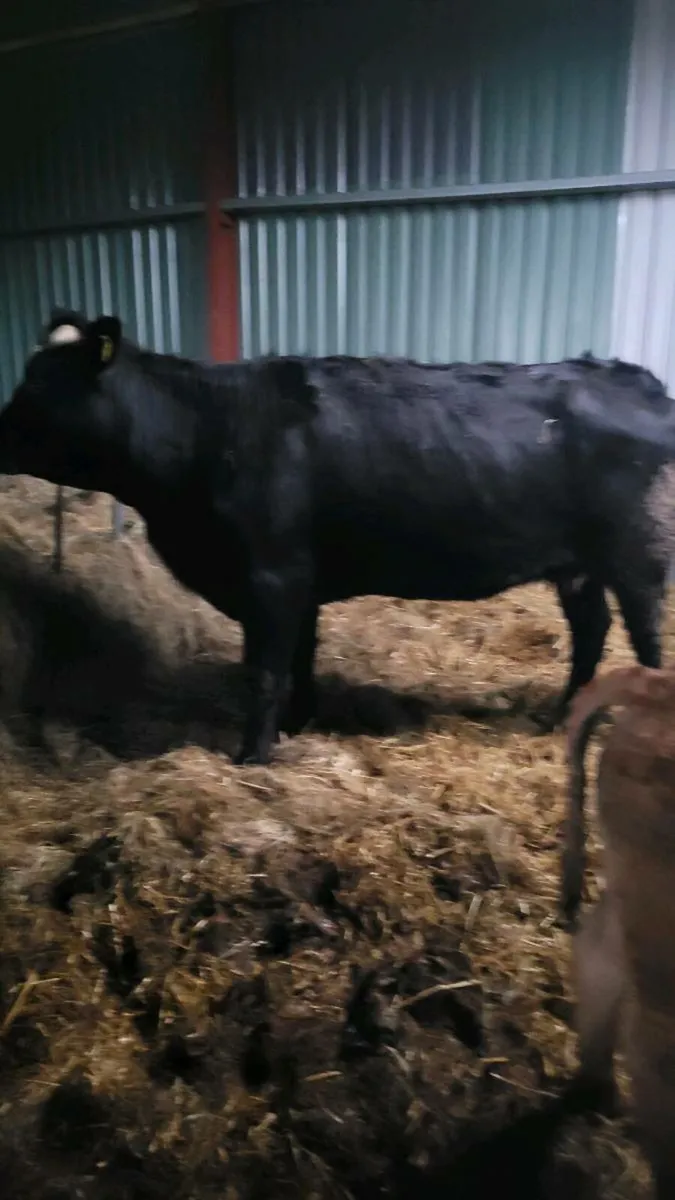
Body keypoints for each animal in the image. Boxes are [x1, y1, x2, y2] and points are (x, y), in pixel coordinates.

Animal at [0, 307, 673, 767]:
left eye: (39, 387)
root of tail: (635, 379)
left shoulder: (273, 574)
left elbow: (264, 673)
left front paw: (253, 758)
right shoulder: (298, 581)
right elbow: (299, 662)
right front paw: (295, 727)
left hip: (637, 554)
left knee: (645, 640)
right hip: (578, 564)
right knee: (592, 632)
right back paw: (560, 719)